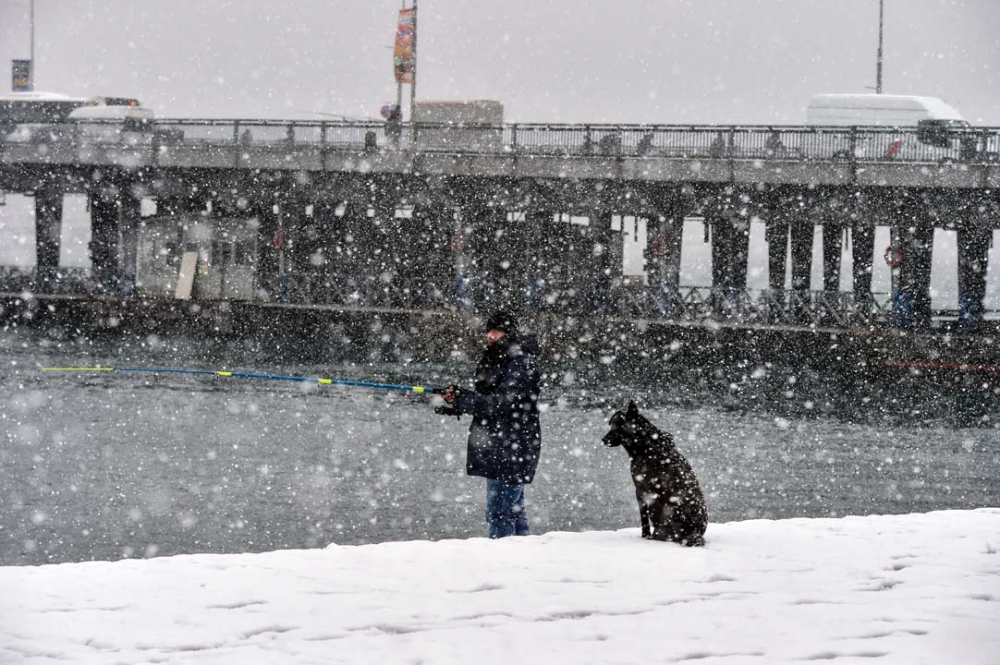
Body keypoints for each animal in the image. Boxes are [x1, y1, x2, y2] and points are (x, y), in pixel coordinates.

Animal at [600, 400, 712, 544]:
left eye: (616, 426)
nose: (603, 439)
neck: (646, 446)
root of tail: (695, 532)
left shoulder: (640, 490)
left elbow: (644, 520)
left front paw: (644, 537)